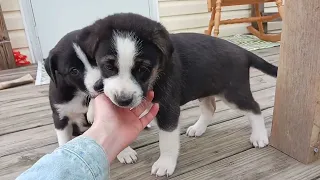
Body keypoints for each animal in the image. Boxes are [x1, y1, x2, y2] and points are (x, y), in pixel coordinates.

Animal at [44, 29, 139, 165]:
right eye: (74, 71)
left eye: (96, 59)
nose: (100, 85)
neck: (79, 93)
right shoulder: (60, 117)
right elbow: (64, 140)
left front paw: (125, 151)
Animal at [77, 13, 278, 176]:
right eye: (108, 66)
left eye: (143, 69)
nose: (124, 101)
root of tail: (243, 51)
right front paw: (123, 151)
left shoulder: (167, 108)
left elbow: (167, 140)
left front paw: (165, 164)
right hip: (205, 87)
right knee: (210, 108)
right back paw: (198, 128)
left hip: (233, 92)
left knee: (255, 108)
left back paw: (259, 137)